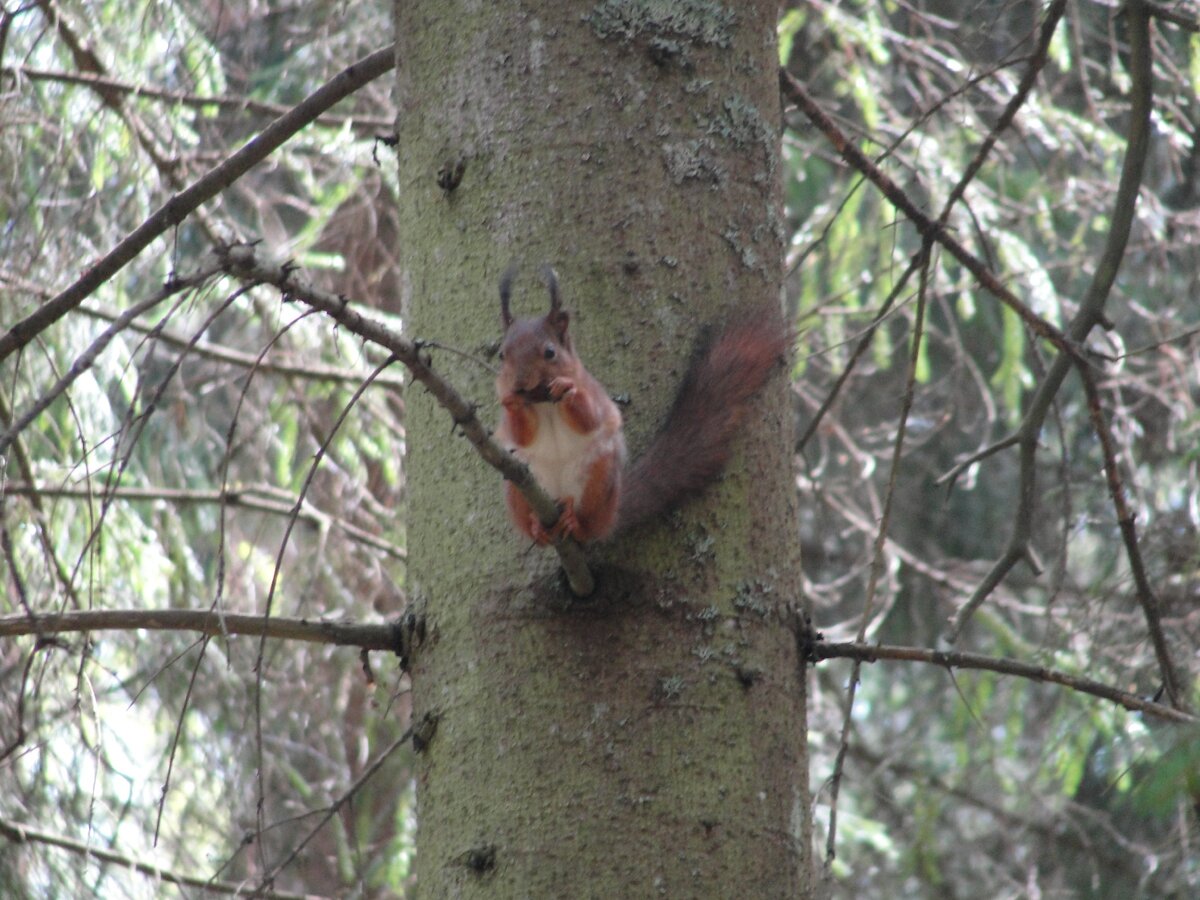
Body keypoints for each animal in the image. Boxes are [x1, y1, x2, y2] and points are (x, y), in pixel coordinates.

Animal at [492, 267, 792, 547]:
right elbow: (522, 435)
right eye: (502, 354)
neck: (545, 404)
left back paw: (572, 518)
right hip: (517, 486)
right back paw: (536, 525)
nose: (519, 382)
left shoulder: (595, 395)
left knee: (588, 526)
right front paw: (511, 401)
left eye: (550, 352)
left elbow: (591, 419)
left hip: (598, 482)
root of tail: (611, 514)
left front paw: (568, 389)